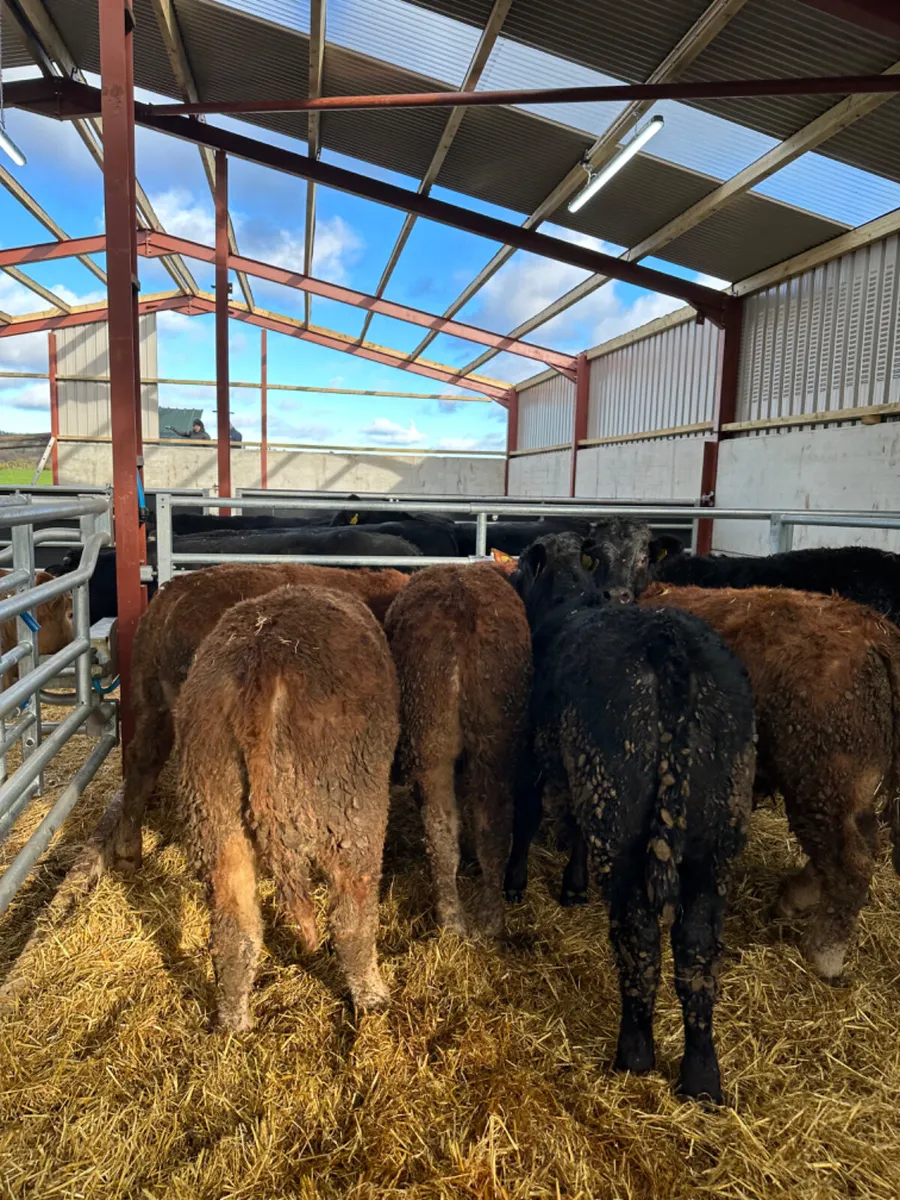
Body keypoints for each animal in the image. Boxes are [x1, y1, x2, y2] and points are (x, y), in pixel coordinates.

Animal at [175, 585, 399, 1028]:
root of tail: (262, 661)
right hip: (351, 813)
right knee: (350, 921)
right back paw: (373, 999)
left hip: (215, 816)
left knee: (233, 932)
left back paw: (234, 1023)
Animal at [384, 564, 531, 938]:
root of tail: (462, 605)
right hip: (494, 736)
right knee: (492, 826)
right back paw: (488, 921)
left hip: (429, 739)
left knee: (440, 828)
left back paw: (451, 919)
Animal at [509, 534, 756, 1103]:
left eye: (524, 567)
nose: (509, 578)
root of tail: (668, 643)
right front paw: (573, 886)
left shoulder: (536, 752)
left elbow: (527, 817)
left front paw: (516, 882)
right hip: (716, 832)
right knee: (697, 950)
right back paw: (701, 1077)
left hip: (618, 813)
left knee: (638, 937)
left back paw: (635, 1054)